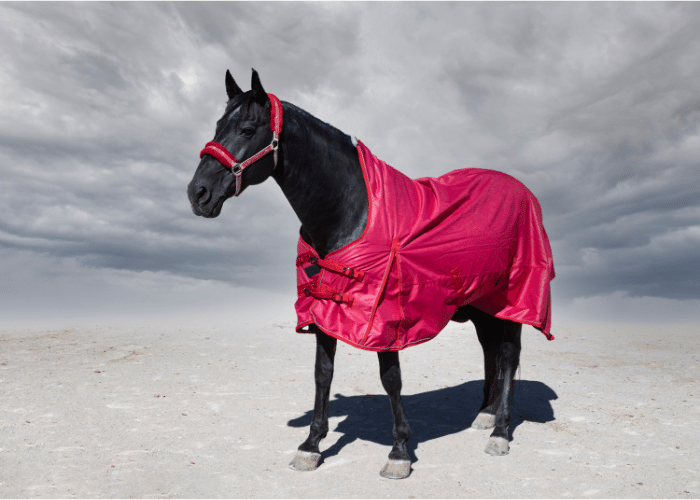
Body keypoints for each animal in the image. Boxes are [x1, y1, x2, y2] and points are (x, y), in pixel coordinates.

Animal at [185, 68, 552, 478]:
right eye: (218, 126)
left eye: (248, 129)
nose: (197, 193)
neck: (350, 211)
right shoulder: (324, 308)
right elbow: (322, 373)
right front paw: (310, 445)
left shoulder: (384, 318)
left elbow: (391, 379)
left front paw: (399, 452)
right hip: (481, 305)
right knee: (491, 351)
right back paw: (485, 415)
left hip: (513, 299)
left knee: (509, 353)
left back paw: (500, 431)